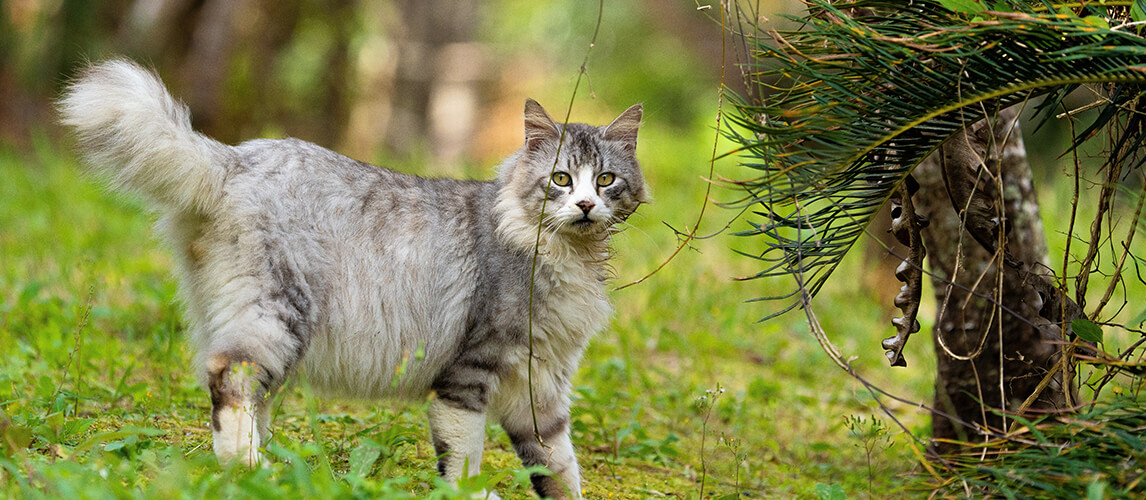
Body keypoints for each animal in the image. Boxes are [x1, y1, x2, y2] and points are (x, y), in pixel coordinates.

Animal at [58, 56, 646, 497]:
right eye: (562, 180)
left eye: (606, 180)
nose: (586, 206)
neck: (566, 257)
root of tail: (235, 158)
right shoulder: (468, 376)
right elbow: (464, 461)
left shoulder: (540, 390)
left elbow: (560, 468)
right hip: (278, 313)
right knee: (230, 377)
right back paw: (252, 472)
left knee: (252, 395)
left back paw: (269, 470)